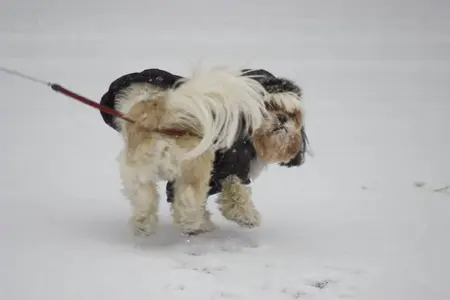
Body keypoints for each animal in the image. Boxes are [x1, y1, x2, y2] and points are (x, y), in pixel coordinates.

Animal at [100, 67, 268, 236]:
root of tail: (162, 115)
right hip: (194, 168)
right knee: (190, 197)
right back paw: (193, 223)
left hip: (140, 171)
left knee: (146, 199)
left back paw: (144, 225)